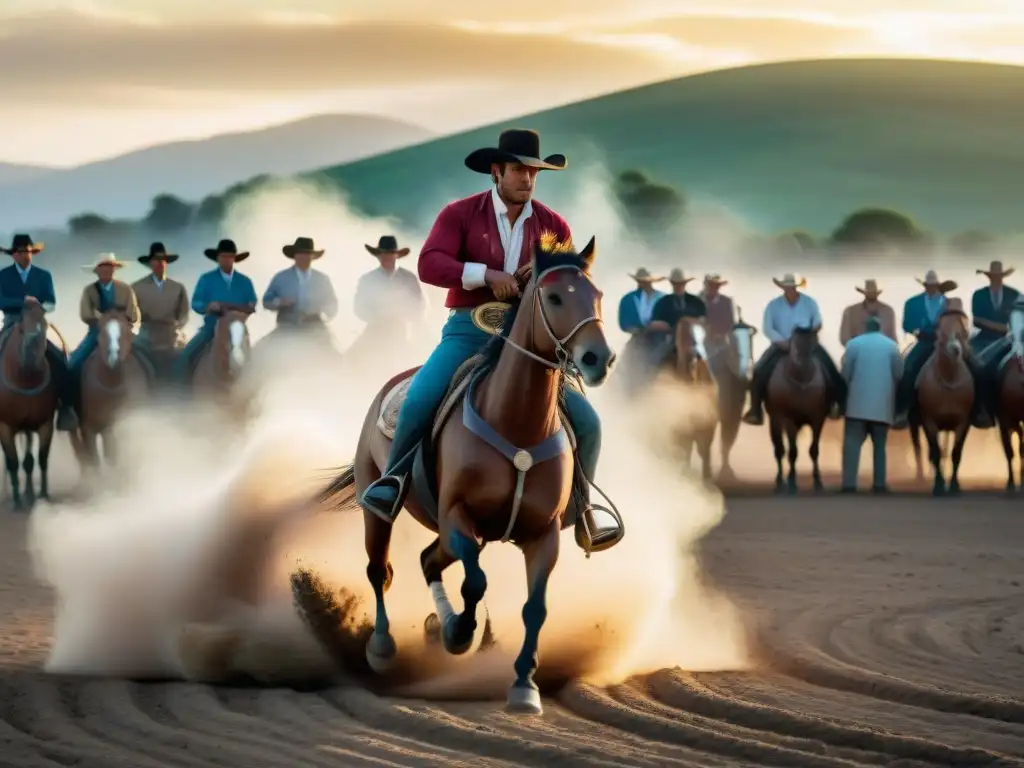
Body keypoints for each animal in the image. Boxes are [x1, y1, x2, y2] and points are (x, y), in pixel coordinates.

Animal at [0, 301, 58, 512]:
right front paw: (16, 502)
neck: (25, 381)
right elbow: (13, 462)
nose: (31, 359)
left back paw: (30, 493)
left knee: (29, 461)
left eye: (45, 327)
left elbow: (40, 458)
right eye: (21, 329)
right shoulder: (5, 427)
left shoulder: (45, 424)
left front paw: (43, 495)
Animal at [70, 309, 151, 468]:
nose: (114, 357)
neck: (111, 385)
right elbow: (95, 460)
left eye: (126, 331)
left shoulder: (119, 428)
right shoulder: (88, 429)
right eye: (101, 331)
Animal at [296, 237, 614, 720]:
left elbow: (534, 608)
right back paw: (384, 648)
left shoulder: (542, 535)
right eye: (555, 297)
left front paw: (524, 686)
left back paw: (436, 627)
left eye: (596, 296)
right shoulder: (458, 518)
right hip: (382, 512)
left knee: (428, 561)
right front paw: (460, 634)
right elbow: (475, 583)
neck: (516, 422)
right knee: (380, 570)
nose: (598, 359)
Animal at [765, 325, 827, 493]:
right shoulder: (789, 420)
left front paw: (818, 481)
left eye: (814, 343)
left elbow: (814, 450)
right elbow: (792, 452)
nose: (803, 365)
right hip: (775, 421)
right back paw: (780, 481)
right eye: (795, 344)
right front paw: (792, 482)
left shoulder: (818, 419)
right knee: (779, 449)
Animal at [913, 311, 974, 499]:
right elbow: (935, 453)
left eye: (963, 331)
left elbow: (956, 453)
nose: (955, 350)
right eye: (940, 333)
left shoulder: (963, 422)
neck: (949, 379)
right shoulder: (929, 422)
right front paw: (938, 486)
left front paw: (954, 486)